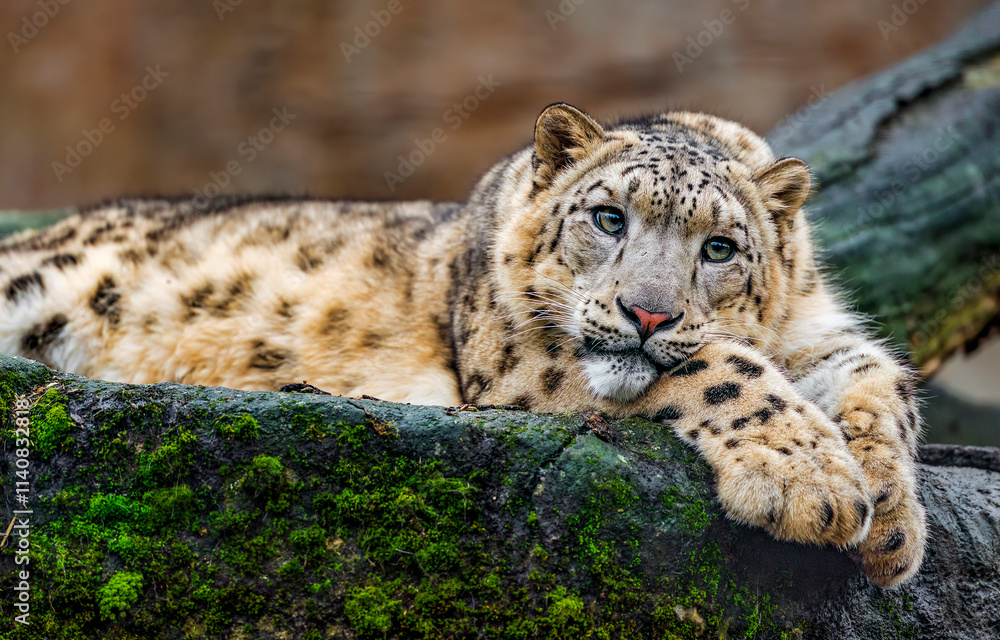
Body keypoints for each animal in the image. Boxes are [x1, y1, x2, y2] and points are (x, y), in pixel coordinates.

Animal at [0, 103, 925, 586]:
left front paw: (890, 520)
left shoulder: (823, 332)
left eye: (722, 248)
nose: (648, 315)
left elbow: (884, 384)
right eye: (608, 218)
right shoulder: (524, 361)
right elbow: (724, 365)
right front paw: (809, 484)